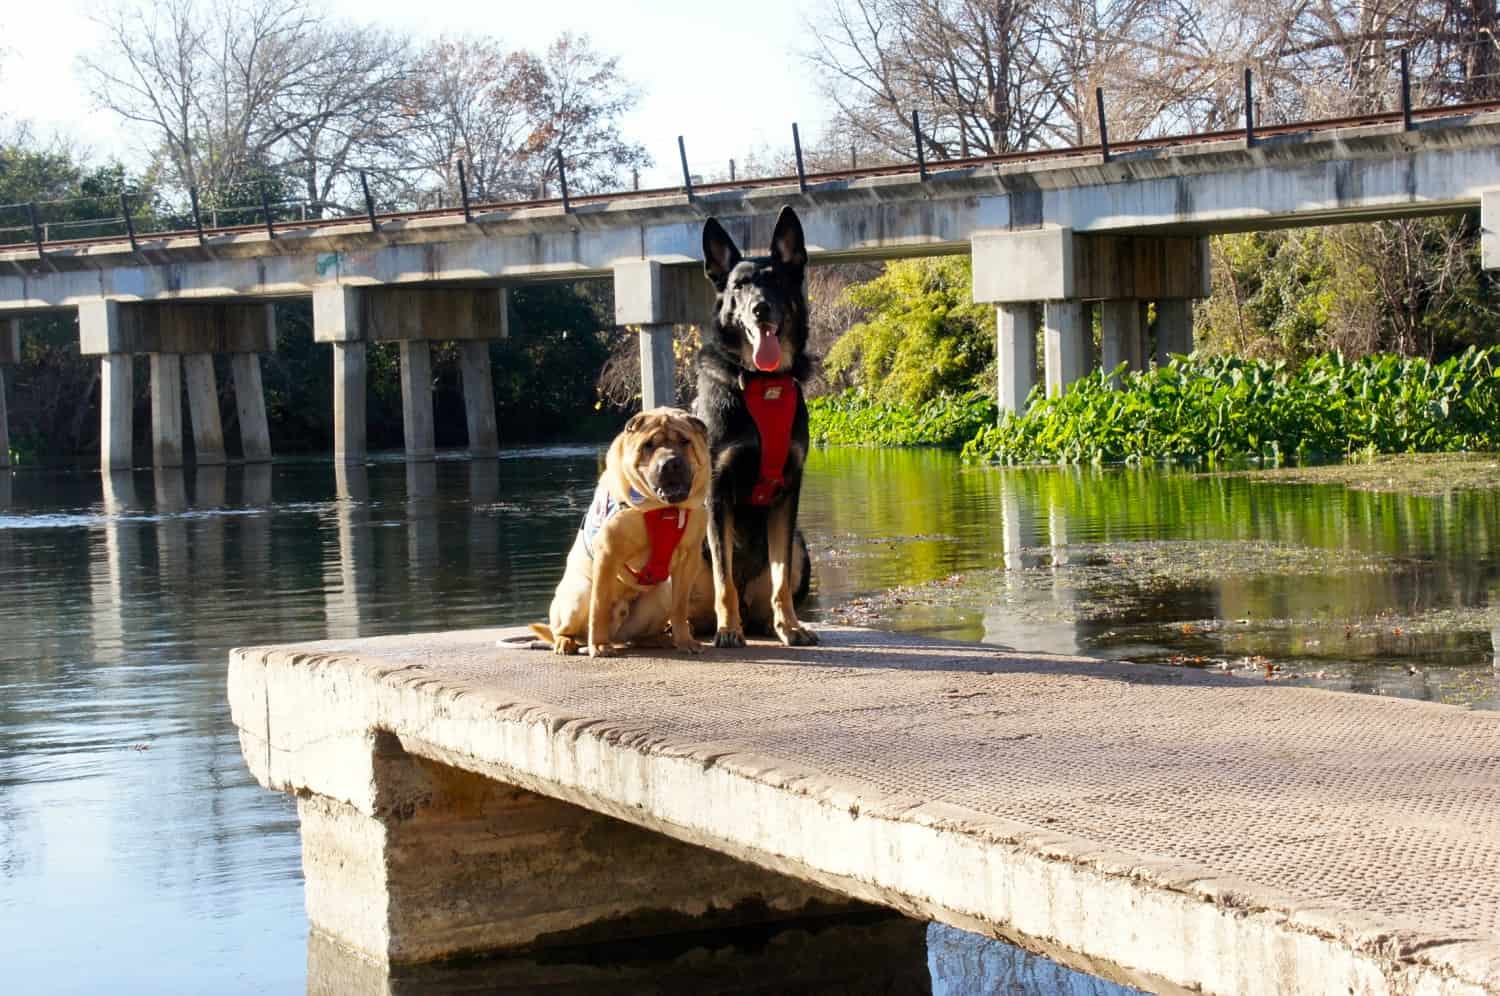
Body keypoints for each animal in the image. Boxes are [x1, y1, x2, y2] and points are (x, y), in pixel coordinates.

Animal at [693, 205, 816, 651]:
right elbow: (723, 576)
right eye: (740, 286)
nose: (761, 308)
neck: (764, 383)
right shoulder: (718, 490)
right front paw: (728, 630)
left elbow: (779, 577)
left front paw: (791, 626)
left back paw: (770, 623)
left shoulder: (787, 492)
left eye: (776, 281)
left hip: (801, 543)